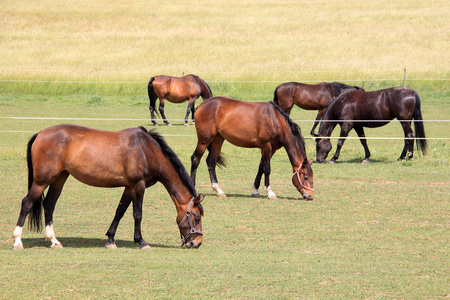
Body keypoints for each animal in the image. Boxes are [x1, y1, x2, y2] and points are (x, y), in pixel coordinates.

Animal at [11, 124, 206, 251]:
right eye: (196, 217)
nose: (197, 243)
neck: (147, 151)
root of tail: (40, 134)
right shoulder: (138, 186)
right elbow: (137, 214)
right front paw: (141, 241)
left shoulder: (129, 187)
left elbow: (119, 212)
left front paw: (110, 239)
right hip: (42, 181)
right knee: (27, 203)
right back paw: (17, 241)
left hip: (59, 178)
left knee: (49, 205)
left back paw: (54, 241)